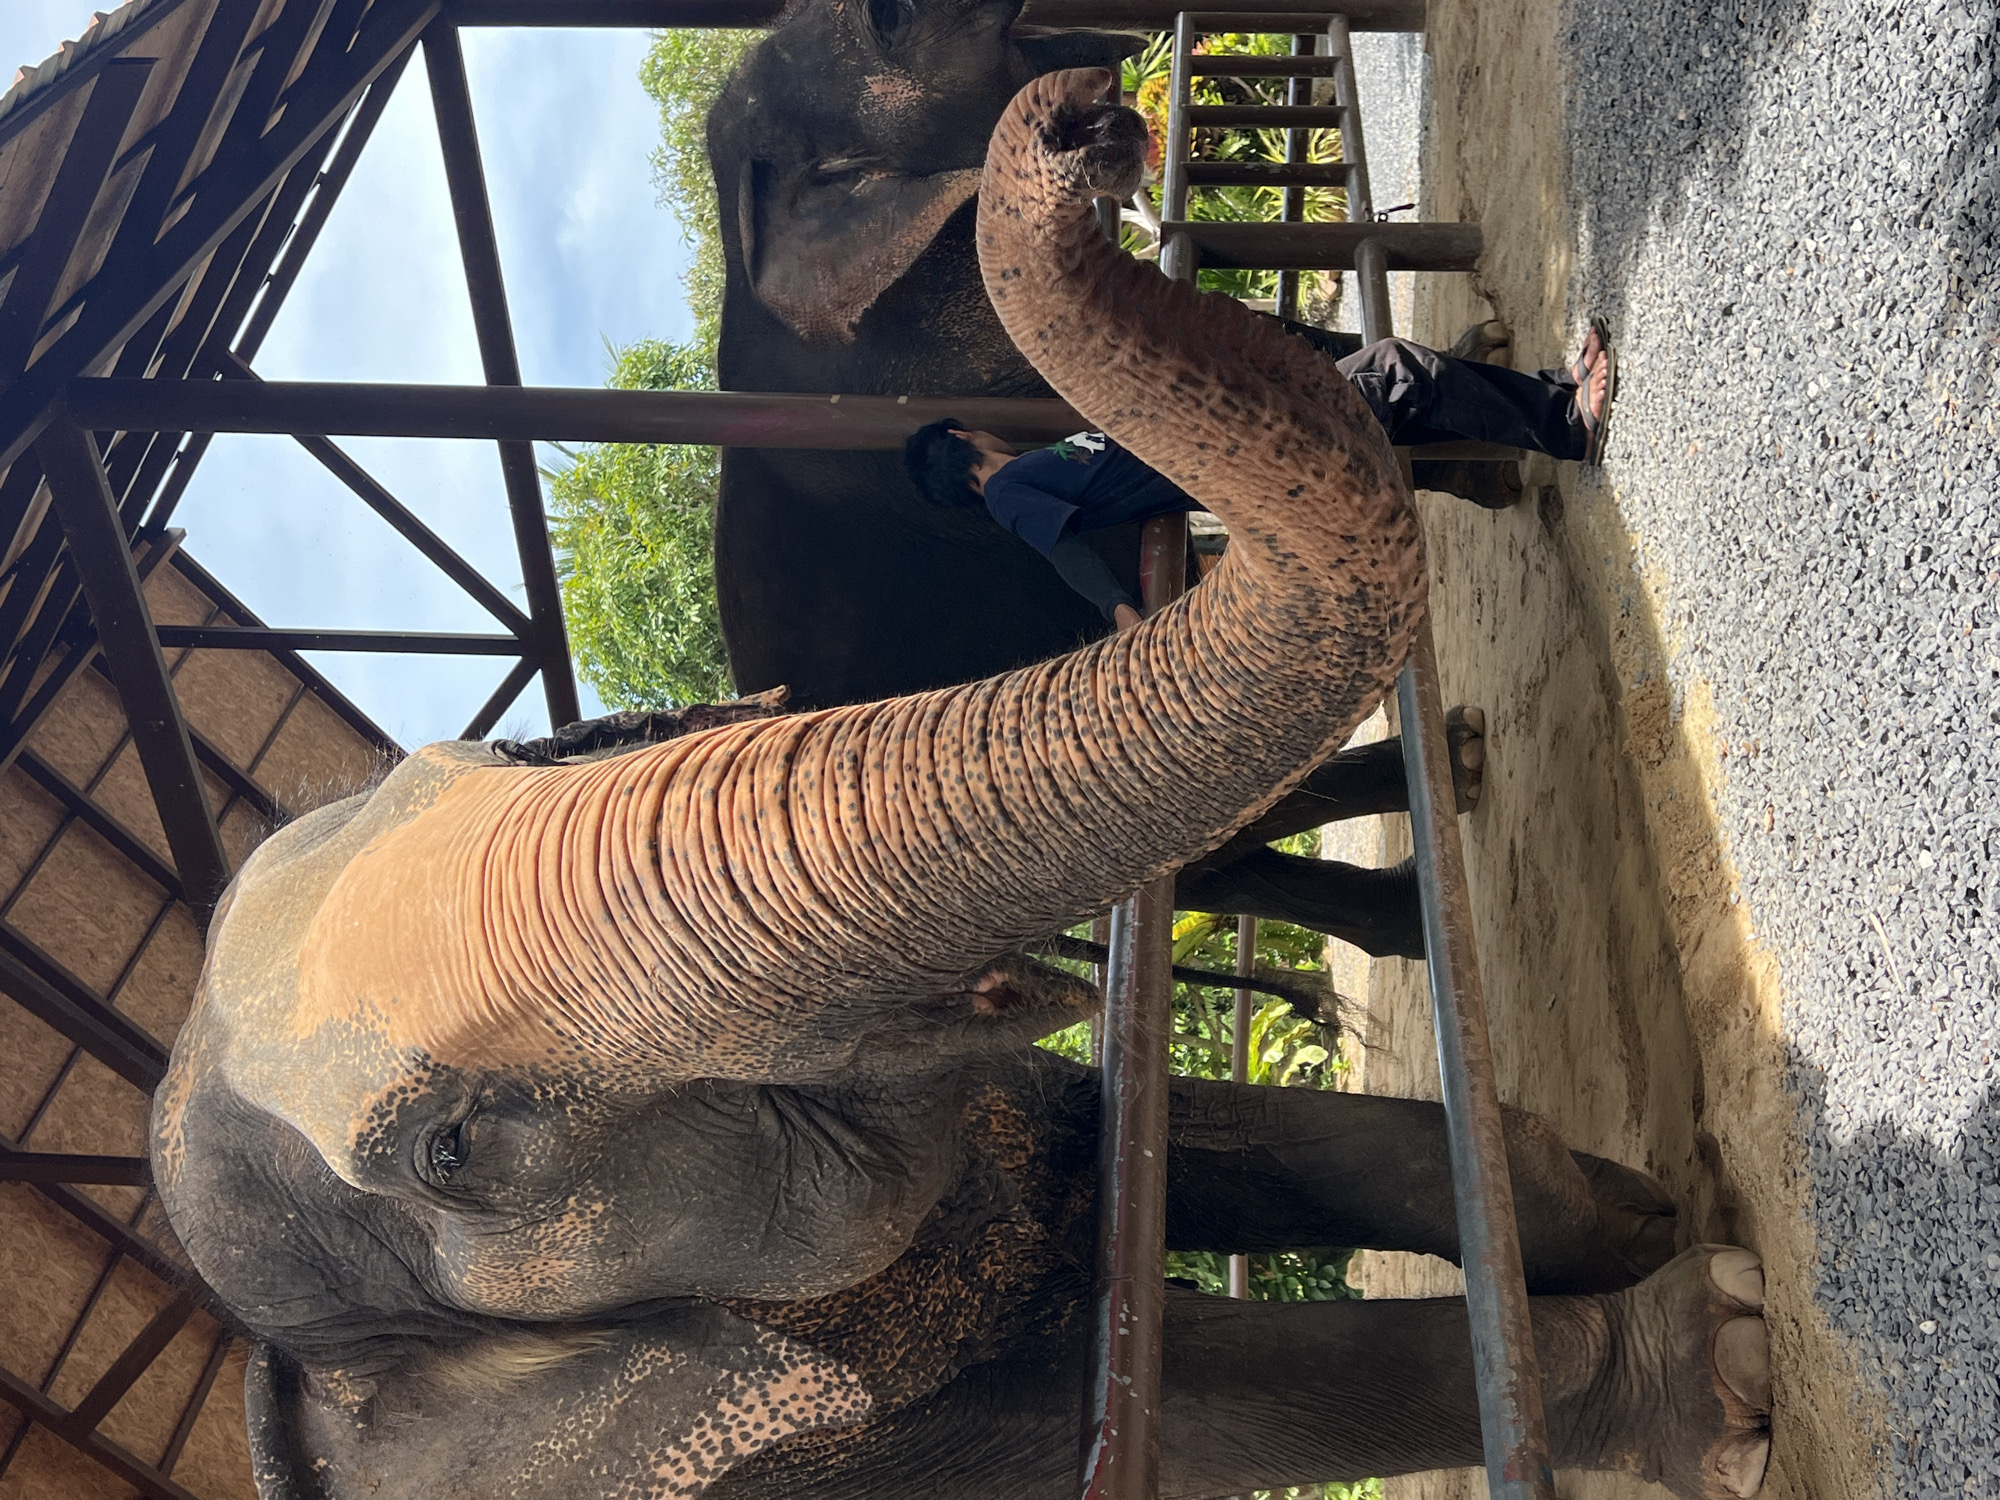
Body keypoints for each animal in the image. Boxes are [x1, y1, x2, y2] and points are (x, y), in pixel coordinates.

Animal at [155, 74, 1771, 1500]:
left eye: (524, 752)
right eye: (454, 1150)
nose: (1101, 120)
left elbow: (1201, 1142)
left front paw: (1625, 1213)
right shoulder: (794, 1433)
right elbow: (1211, 1402)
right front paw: (1726, 1359)